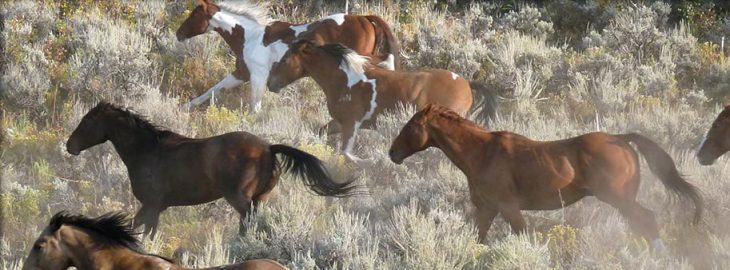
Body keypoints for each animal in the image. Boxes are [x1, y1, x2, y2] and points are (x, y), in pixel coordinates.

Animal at [65, 102, 356, 238]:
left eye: (87, 121)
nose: (70, 145)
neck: (146, 151)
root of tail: (268, 148)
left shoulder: (151, 204)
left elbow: (143, 231)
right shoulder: (156, 207)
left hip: (240, 198)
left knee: (247, 221)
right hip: (259, 198)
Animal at [175, 0, 398, 112]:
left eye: (195, 15)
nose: (178, 34)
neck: (250, 36)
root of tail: (364, 18)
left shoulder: (258, 77)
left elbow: (255, 107)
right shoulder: (241, 73)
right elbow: (212, 90)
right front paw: (184, 106)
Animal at [268, 40, 494, 165]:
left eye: (286, 59)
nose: (271, 83)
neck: (345, 79)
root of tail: (466, 83)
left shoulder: (351, 124)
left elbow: (346, 153)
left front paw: (368, 162)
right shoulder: (339, 123)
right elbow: (322, 133)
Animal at [386, 104, 700, 249]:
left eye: (411, 125)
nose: (392, 153)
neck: (483, 153)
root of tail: (620, 139)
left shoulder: (509, 208)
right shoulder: (487, 209)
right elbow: (478, 239)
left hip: (619, 199)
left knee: (647, 219)